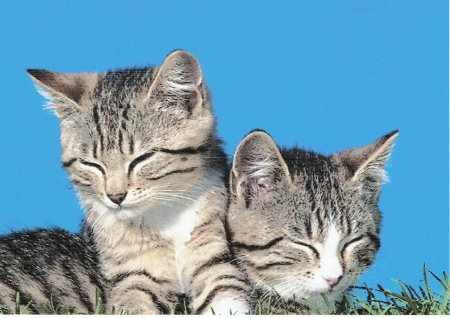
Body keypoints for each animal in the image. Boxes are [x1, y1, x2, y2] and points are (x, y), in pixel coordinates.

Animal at [26, 51, 251, 314]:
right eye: (91, 164)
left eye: (143, 158)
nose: (115, 196)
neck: (165, 217)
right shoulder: (132, 275)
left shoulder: (214, 256)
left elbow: (226, 293)